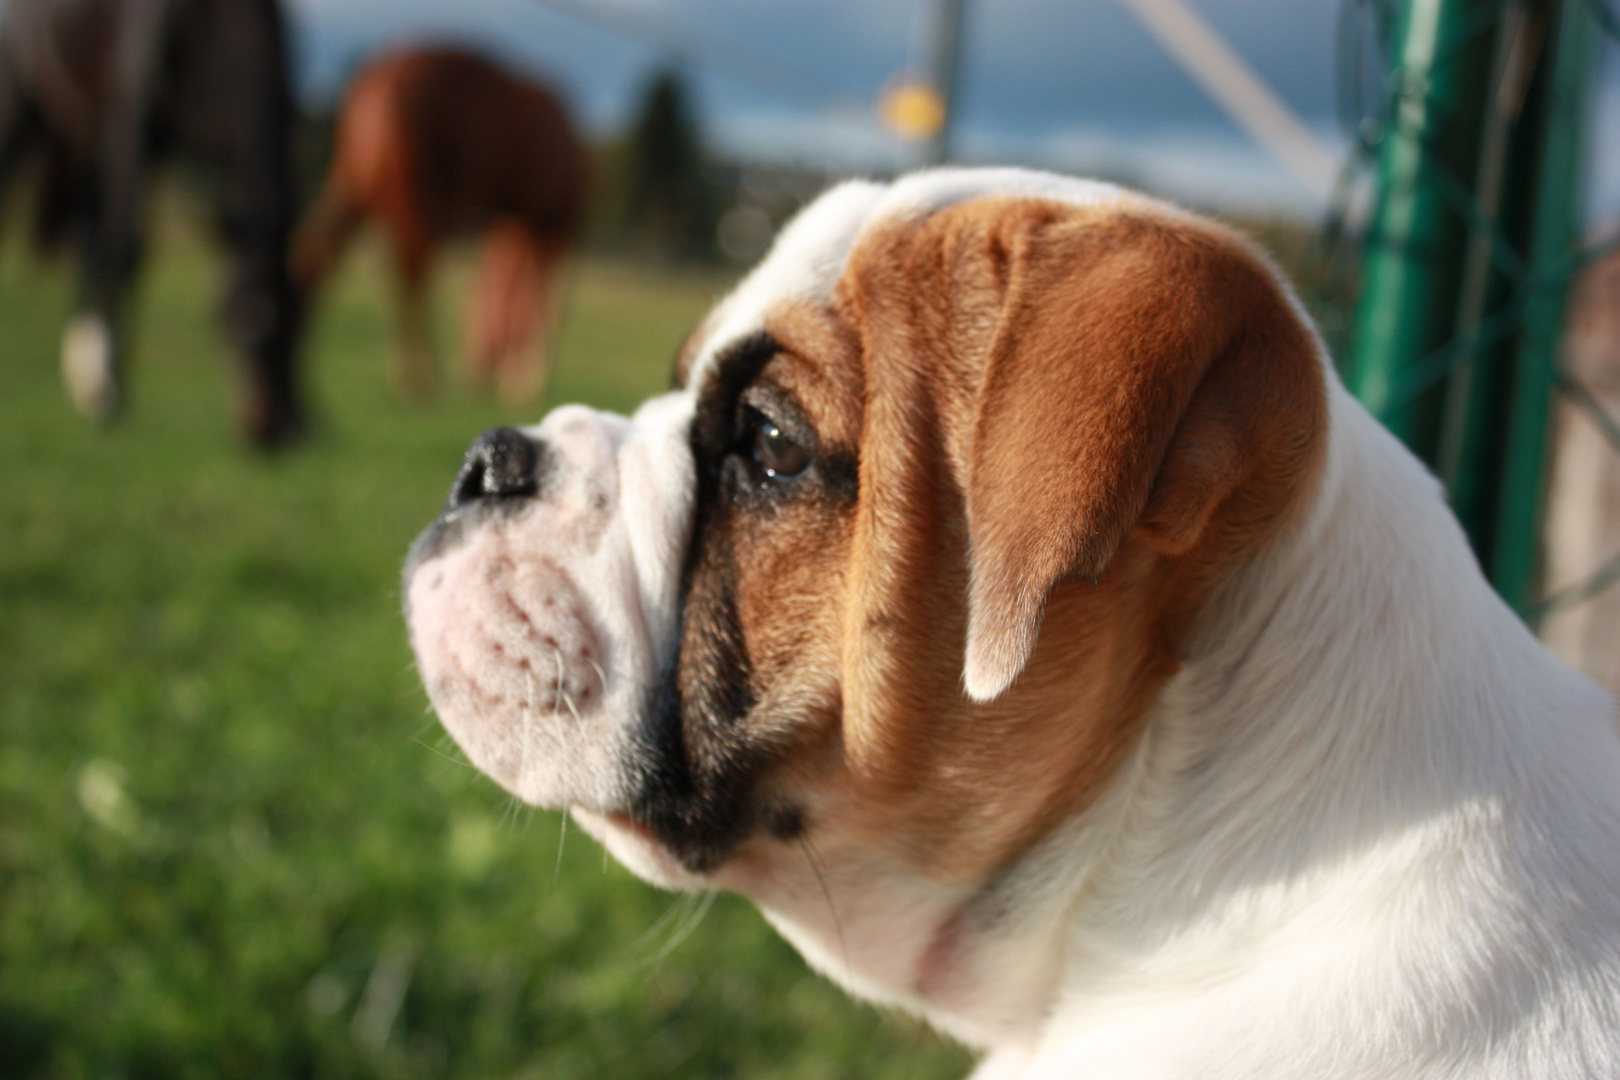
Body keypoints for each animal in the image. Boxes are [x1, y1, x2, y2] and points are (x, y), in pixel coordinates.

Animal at [0, 0, 304, 443]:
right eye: (226, 315)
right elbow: (127, 249)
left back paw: (79, 366)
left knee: (85, 237)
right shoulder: (133, 125)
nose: (269, 431)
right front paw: (107, 393)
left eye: (299, 316)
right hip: (24, 108)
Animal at [296, 44, 589, 403]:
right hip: (413, 198)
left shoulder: (538, 222)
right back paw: (421, 375)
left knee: (338, 260)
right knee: (413, 271)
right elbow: (542, 295)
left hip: (368, 187)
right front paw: (523, 380)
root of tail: (384, 77)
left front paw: (521, 379)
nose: (473, 376)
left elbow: (538, 294)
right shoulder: (548, 221)